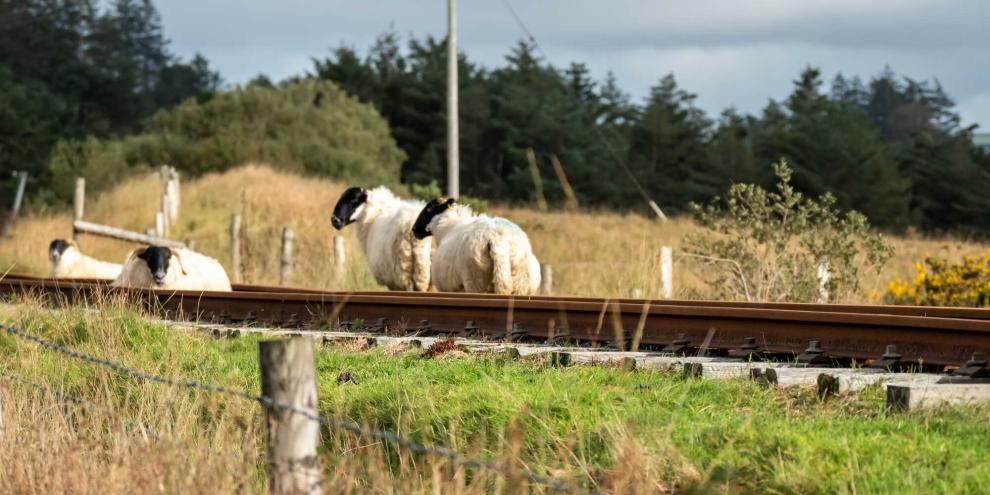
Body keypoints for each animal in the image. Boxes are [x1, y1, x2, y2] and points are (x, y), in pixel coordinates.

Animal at [412, 198, 541, 295]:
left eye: (429, 209)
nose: (414, 229)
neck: (447, 226)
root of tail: (496, 237)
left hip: (475, 281)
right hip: (519, 280)